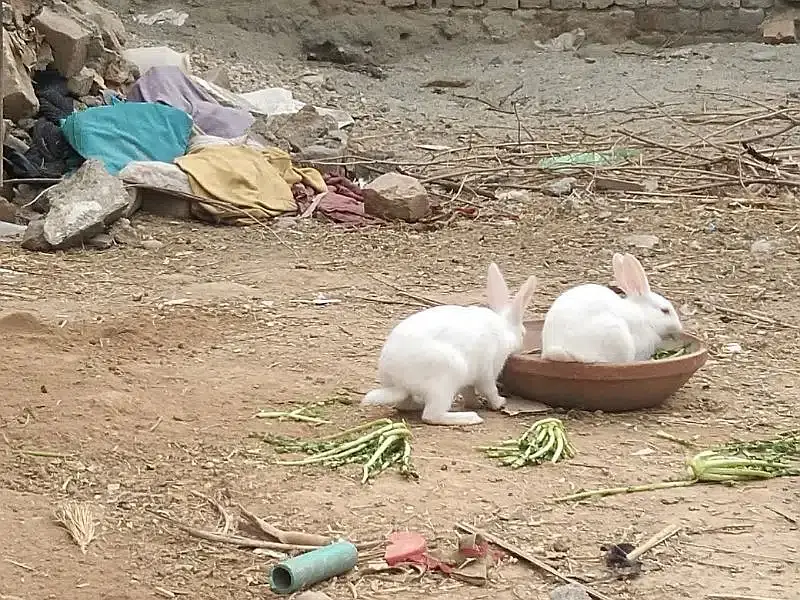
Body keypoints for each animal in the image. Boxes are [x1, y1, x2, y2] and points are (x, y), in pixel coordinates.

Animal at [361, 263, 538, 426]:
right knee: (431, 416)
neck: (504, 329)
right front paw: (499, 403)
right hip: (447, 377)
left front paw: (475, 403)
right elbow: (489, 389)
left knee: (405, 406)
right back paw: (471, 418)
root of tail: (397, 383)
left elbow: (469, 391)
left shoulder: (470, 380)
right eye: (523, 333)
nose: (522, 344)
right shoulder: (487, 372)